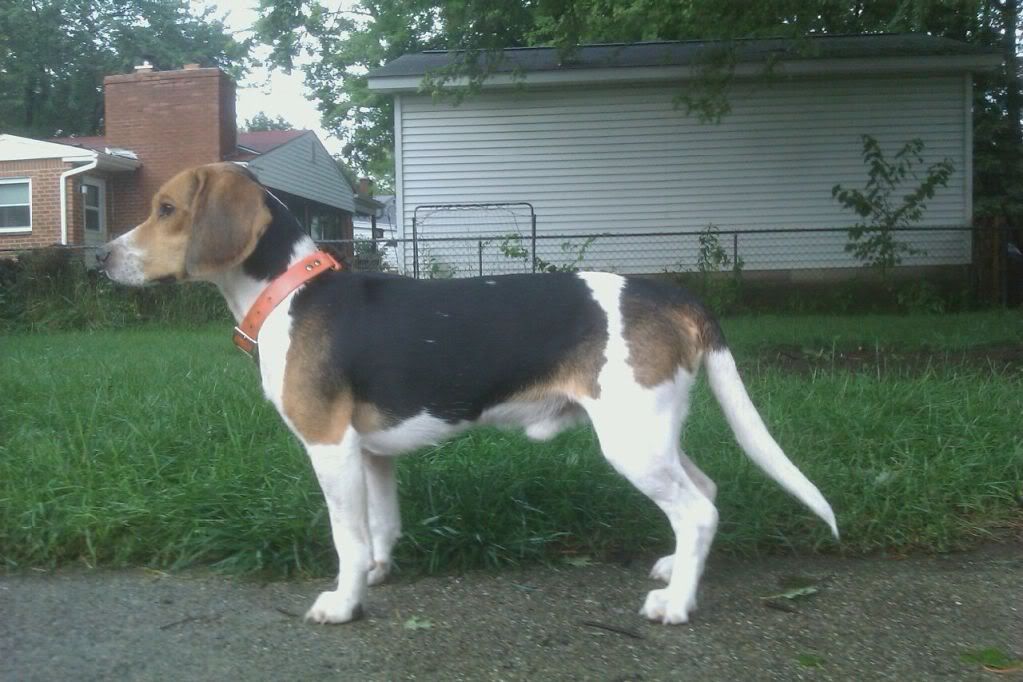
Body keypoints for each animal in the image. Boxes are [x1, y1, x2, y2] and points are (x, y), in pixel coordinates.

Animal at [97, 162, 838, 625]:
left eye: (167, 209)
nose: (98, 259)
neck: (290, 290)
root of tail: (672, 293)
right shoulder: (371, 453)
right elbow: (380, 527)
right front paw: (379, 572)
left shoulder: (329, 448)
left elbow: (346, 537)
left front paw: (344, 601)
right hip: (652, 431)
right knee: (705, 491)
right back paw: (673, 569)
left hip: (631, 442)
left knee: (698, 511)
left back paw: (677, 606)